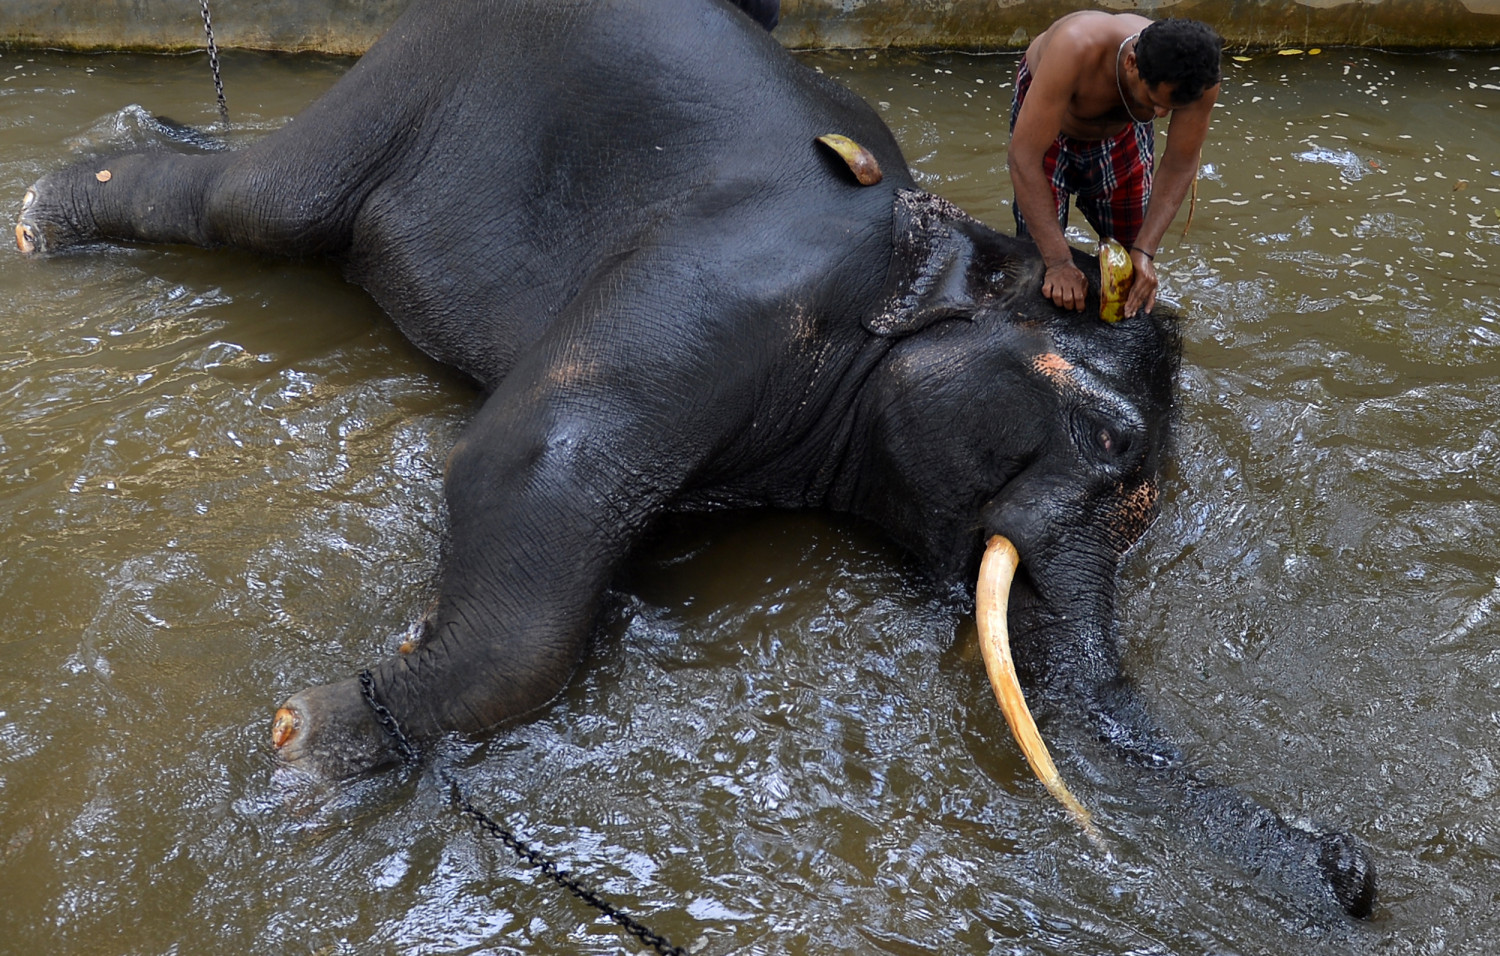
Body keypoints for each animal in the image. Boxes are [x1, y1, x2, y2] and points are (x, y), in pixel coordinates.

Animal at [14, 0, 1374, 918]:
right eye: (1110, 440)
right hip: (418, 75)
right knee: (259, 205)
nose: (1356, 868)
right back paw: (45, 215)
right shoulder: (721, 289)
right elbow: (534, 449)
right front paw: (321, 736)